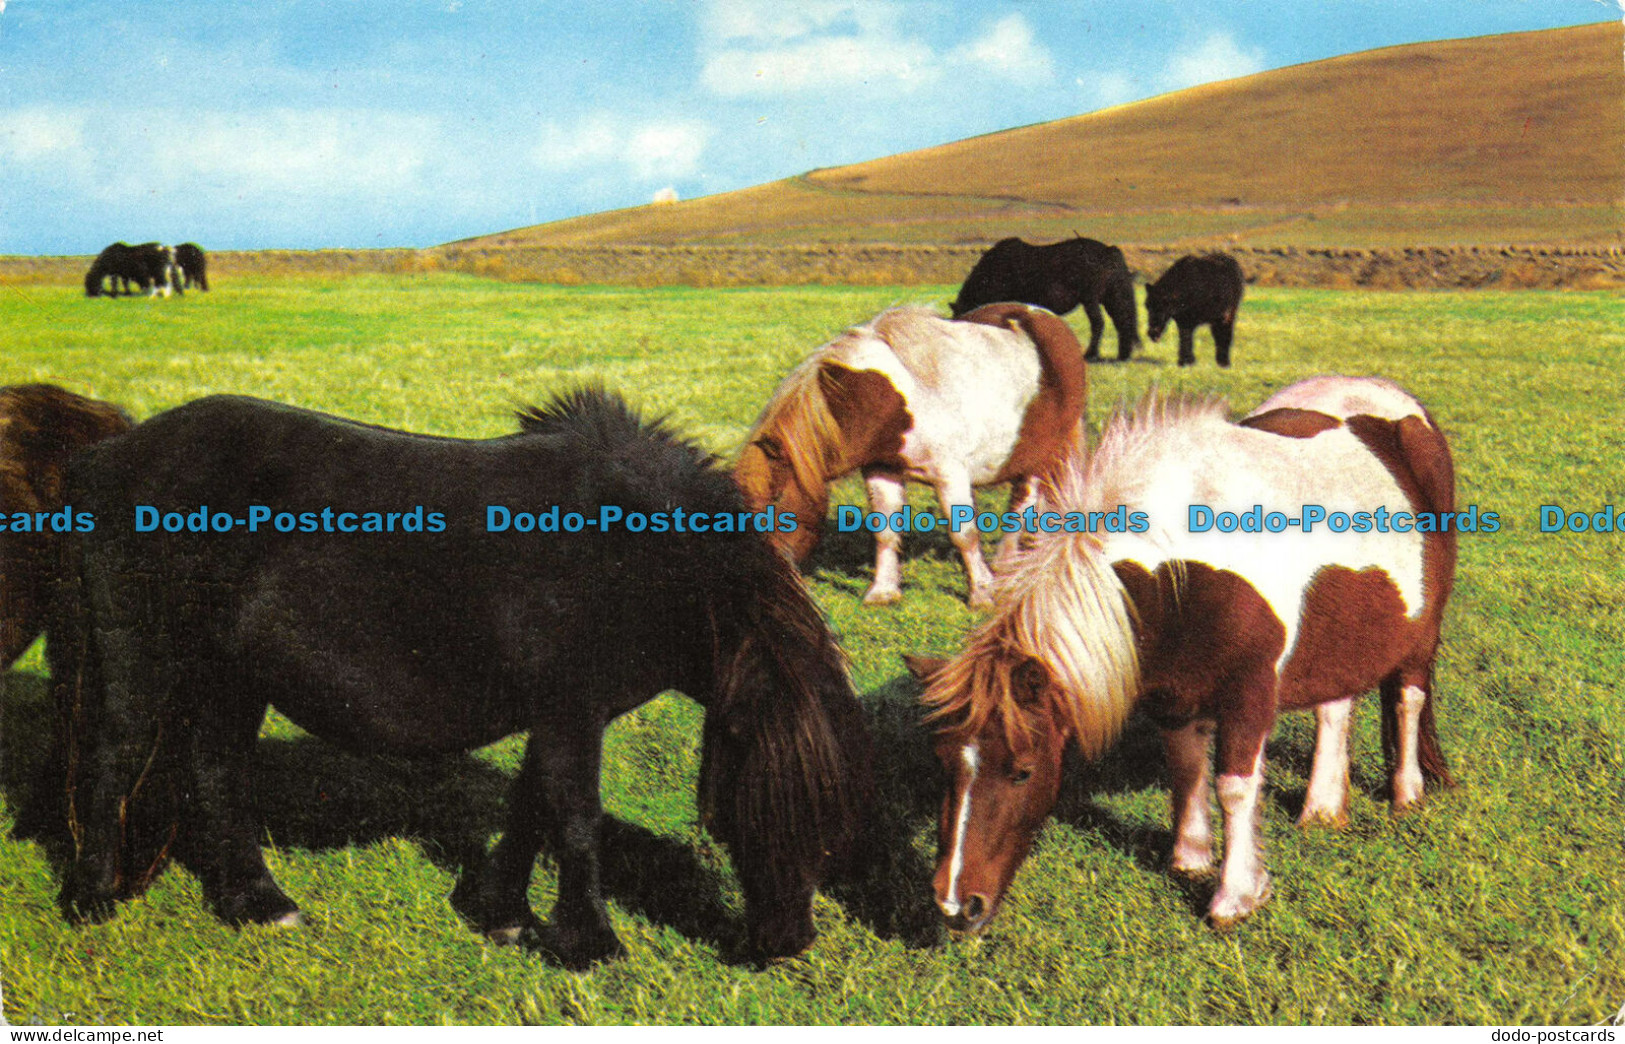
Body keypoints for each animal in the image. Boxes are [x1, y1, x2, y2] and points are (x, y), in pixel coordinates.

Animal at [50, 388, 872, 968]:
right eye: (744, 811)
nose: (786, 943)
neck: (631, 555)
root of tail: (108, 454)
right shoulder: (570, 711)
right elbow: (574, 817)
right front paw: (588, 943)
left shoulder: (562, 713)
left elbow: (534, 805)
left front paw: (499, 912)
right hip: (140, 650)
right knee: (114, 756)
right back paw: (91, 898)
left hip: (230, 674)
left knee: (216, 770)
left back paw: (254, 901)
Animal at [735, 303, 1086, 609]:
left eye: (775, 500)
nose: (764, 580)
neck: (890, 400)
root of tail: (1046, 318)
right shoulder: (881, 470)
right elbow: (885, 529)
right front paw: (883, 591)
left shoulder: (950, 475)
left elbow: (964, 535)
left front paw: (982, 593)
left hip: (1045, 453)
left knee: (1025, 504)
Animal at [908, 377, 1457, 932]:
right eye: (944, 762)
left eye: (1021, 769)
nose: (956, 907)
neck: (1182, 564)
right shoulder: (1175, 694)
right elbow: (1186, 766)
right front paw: (1190, 859)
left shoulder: (1249, 695)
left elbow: (1233, 787)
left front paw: (1234, 897)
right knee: (1335, 707)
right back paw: (1322, 809)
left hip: (1421, 633)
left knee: (1409, 700)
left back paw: (1406, 796)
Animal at [951, 237, 1140, 362]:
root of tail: (1109, 251)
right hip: (1111, 298)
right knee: (1122, 322)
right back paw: (1122, 355)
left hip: (1090, 299)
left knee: (1099, 324)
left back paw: (1091, 354)